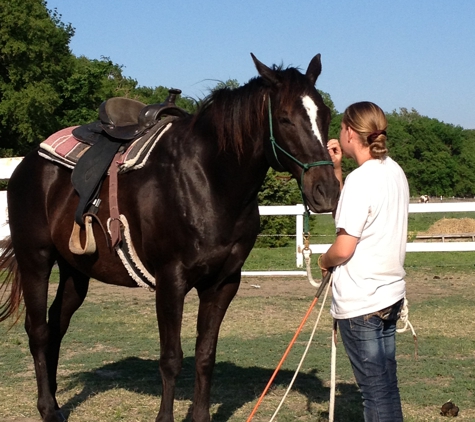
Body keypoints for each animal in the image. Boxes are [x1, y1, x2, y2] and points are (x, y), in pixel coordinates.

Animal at [0, 53, 342, 422]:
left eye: (324, 115)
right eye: (284, 118)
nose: (327, 192)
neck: (208, 180)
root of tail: (27, 165)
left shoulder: (223, 283)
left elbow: (205, 354)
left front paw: (200, 415)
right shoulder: (171, 282)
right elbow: (171, 358)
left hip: (75, 272)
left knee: (56, 326)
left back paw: (52, 396)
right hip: (36, 260)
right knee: (38, 331)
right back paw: (48, 408)